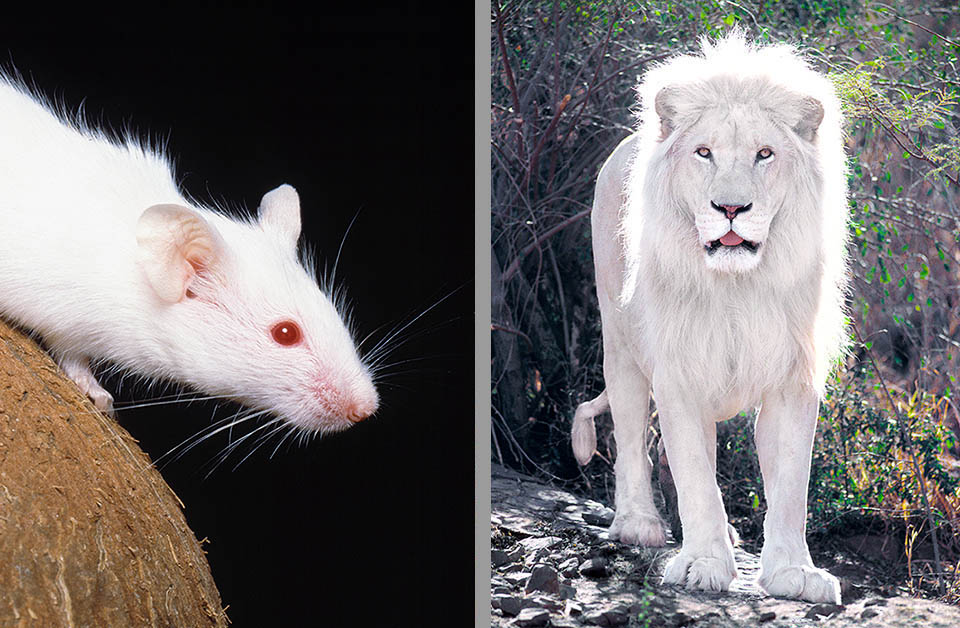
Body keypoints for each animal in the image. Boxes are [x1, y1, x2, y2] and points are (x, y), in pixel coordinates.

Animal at [572, 32, 849, 604]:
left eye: (765, 154)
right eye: (704, 153)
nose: (731, 209)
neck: (738, 286)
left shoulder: (793, 375)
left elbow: (791, 482)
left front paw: (794, 572)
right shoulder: (679, 372)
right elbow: (695, 475)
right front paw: (703, 564)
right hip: (620, 347)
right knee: (630, 438)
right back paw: (639, 524)